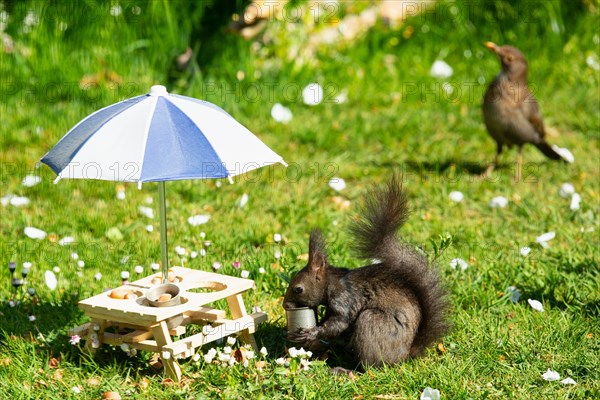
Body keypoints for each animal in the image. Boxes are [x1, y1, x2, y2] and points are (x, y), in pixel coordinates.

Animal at [282, 177, 450, 368]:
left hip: (372, 323)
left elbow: (339, 323)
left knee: (370, 365)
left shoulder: (344, 298)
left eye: (298, 289)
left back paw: (346, 370)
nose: (285, 305)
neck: (331, 282)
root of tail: (406, 355)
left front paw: (311, 333)